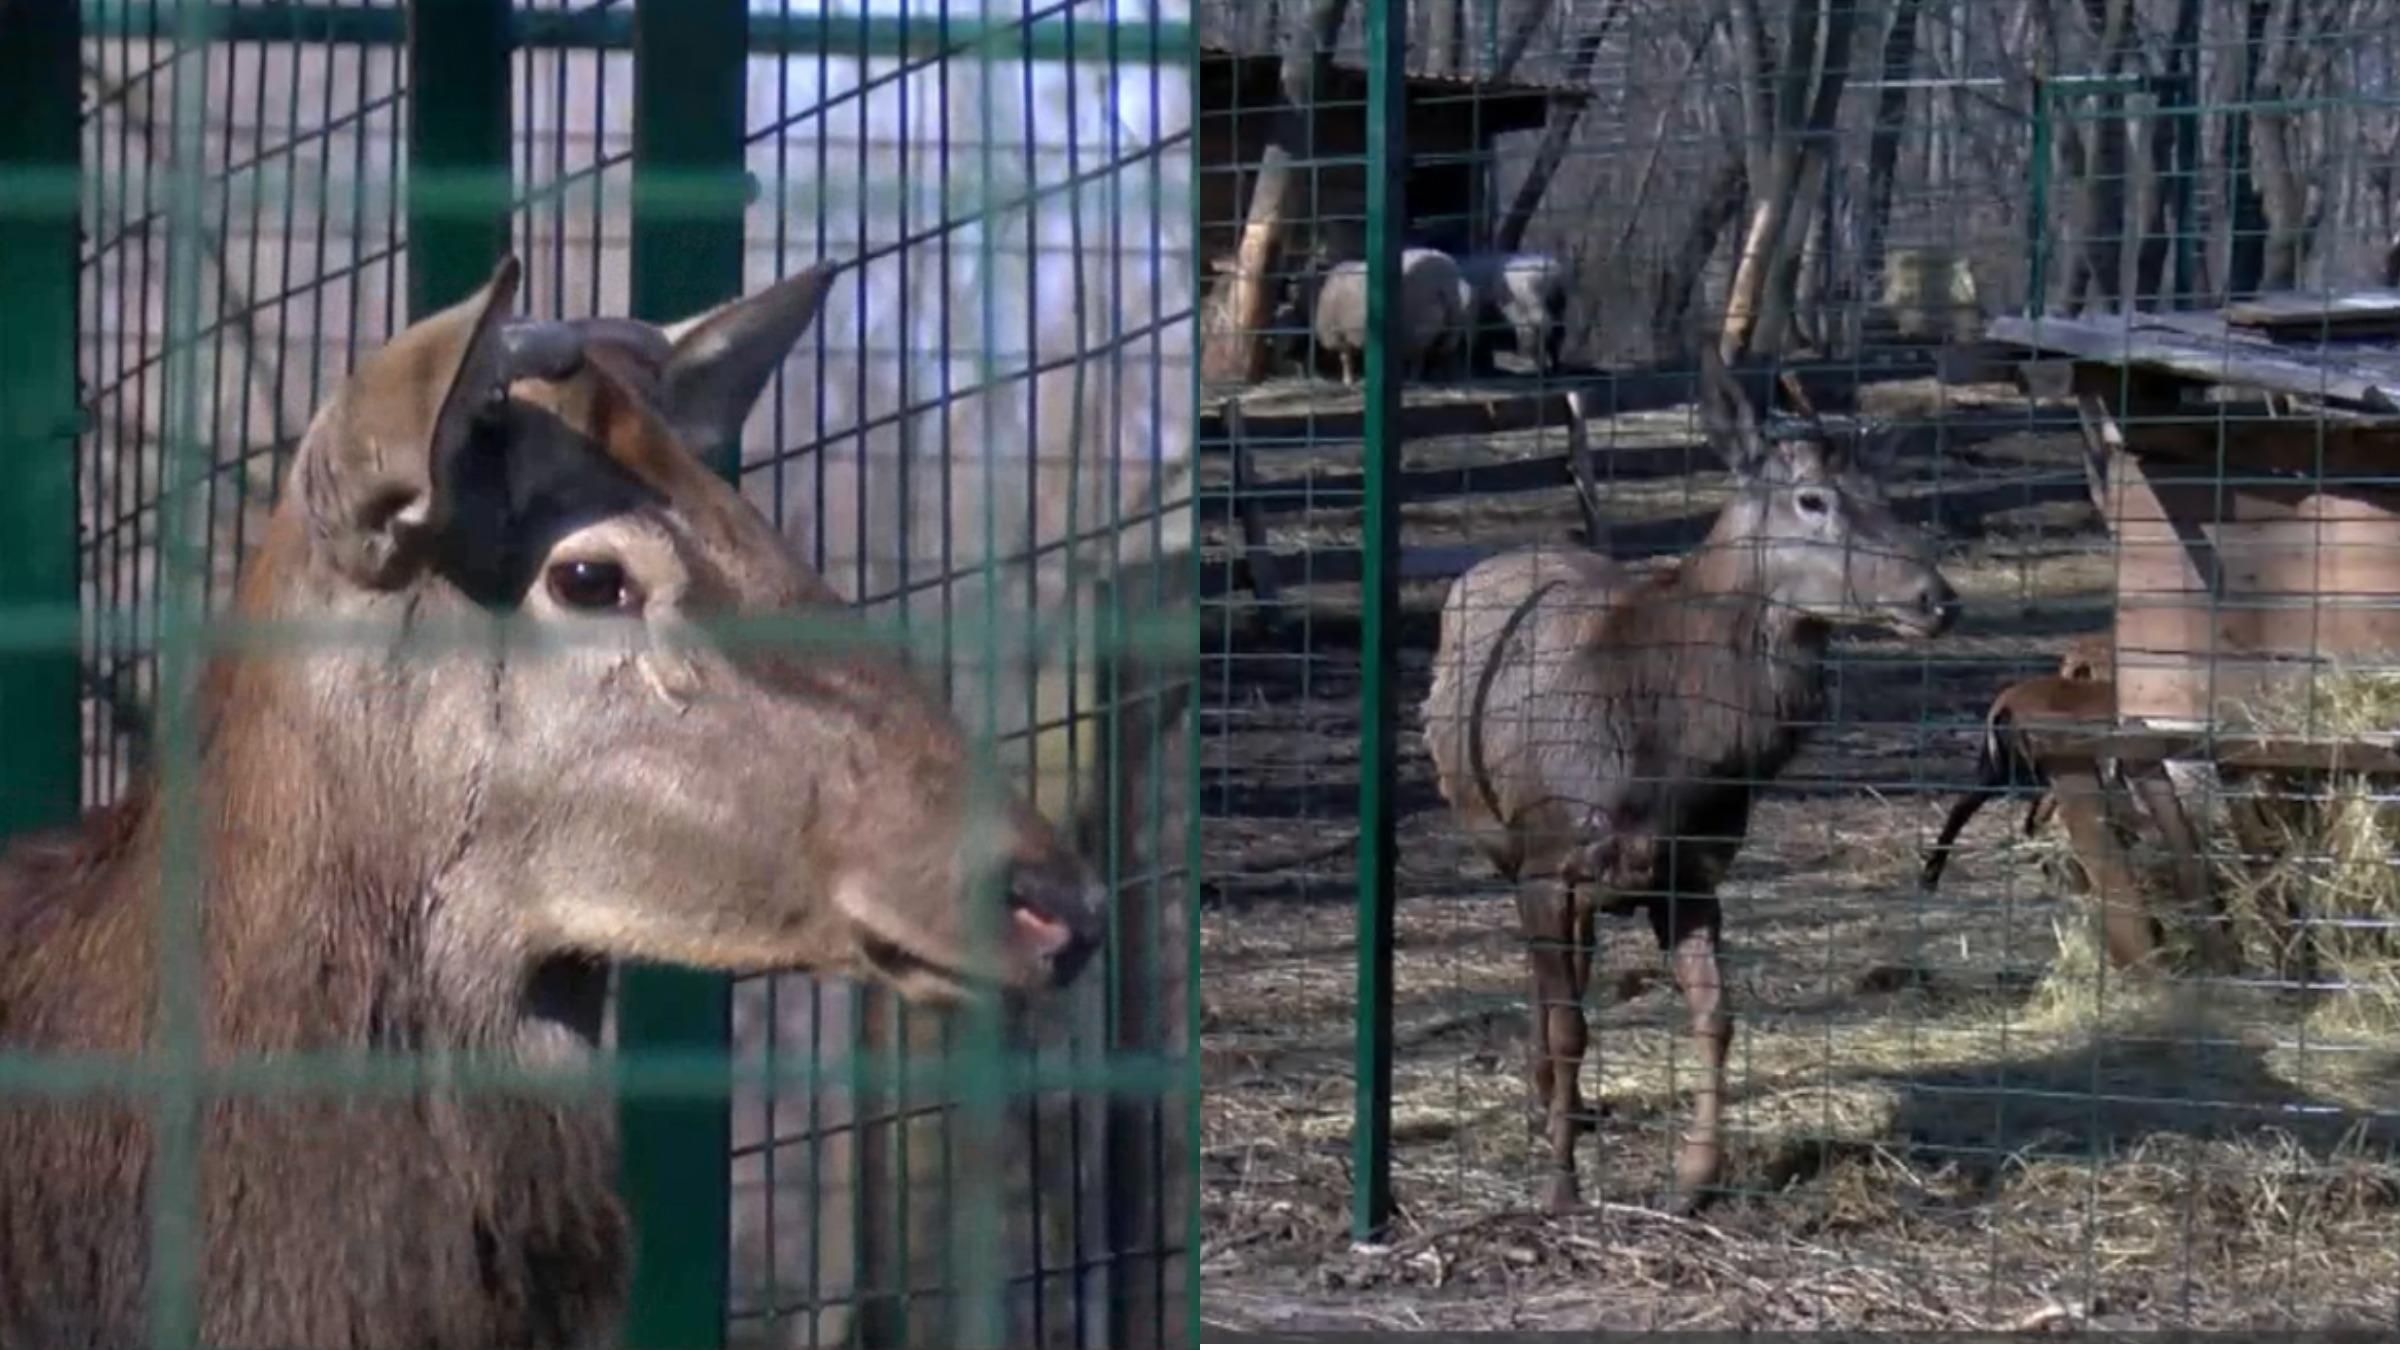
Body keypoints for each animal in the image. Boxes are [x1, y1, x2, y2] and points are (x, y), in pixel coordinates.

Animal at [1420, 345, 1948, 1210]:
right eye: (1812, 498)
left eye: (1888, 495)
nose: (1938, 598)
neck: (1664, 758)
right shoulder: (1548, 859)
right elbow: (1571, 1024)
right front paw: (1561, 1185)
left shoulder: (1690, 871)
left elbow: (1716, 1016)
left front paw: (1694, 1178)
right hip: (1508, 851)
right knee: (1550, 987)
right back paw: (1548, 1111)